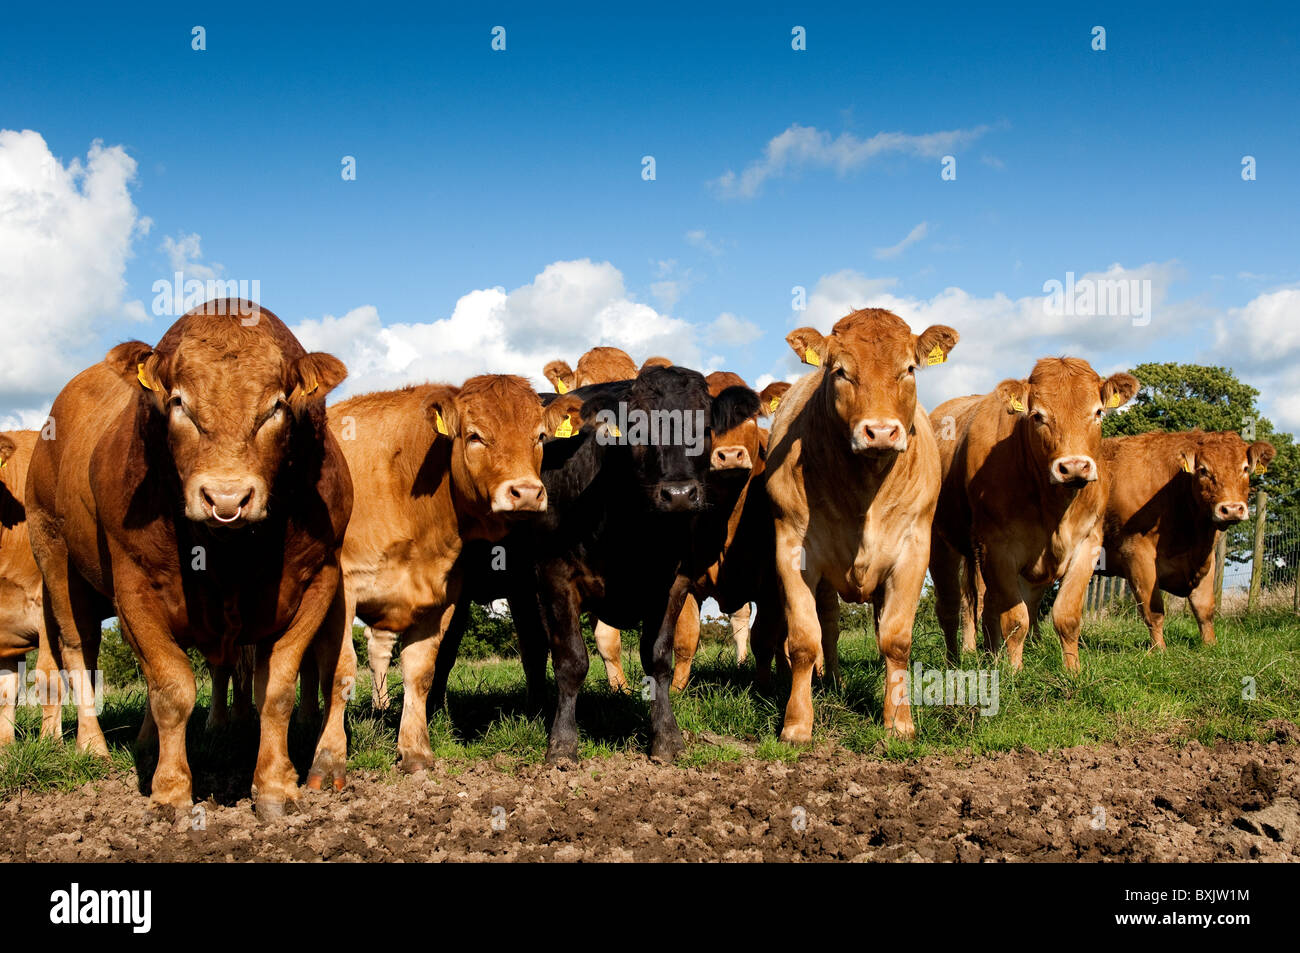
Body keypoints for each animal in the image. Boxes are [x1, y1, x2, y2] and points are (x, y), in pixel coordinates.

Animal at [29, 299, 356, 816]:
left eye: (276, 406)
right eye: (179, 401)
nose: (226, 498)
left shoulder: (316, 579)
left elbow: (277, 688)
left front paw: (274, 785)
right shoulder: (134, 585)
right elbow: (171, 688)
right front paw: (170, 790)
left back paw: (143, 742)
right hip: (54, 556)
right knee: (78, 647)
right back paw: (92, 746)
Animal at [330, 374, 564, 769]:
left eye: (540, 437)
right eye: (475, 436)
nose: (527, 493)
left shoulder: (446, 594)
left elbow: (423, 669)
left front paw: (415, 750)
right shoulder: (344, 588)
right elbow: (342, 668)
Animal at [759, 308, 956, 738]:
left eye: (909, 368)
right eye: (840, 372)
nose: (880, 431)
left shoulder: (913, 550)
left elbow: (895, 639)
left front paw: (898, 721)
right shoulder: (792, 549)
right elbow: (805, 639)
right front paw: (796, 724)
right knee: (830, 625)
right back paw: (831, 680)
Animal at [925, 356, 1138, 670]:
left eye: (1098, 412)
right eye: (1038, 416)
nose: (1074, 467)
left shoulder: (1087, 542)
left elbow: (1066, 616)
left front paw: (1072, 671)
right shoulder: (998, 547)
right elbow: (1016, 620)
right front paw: (1015, 672)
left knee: (988, 608)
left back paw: (991, 657)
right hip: (941, 544)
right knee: (951, 607)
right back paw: (954, 662)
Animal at [1102, 431, 1274, 647]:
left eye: (1245, 468)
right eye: (1203, 470)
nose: (1232, 509)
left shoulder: (1207, 556)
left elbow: (1204, 609)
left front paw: (1210, 646)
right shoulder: (1136, 551)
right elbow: (1153, 610)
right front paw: (1159, 650)